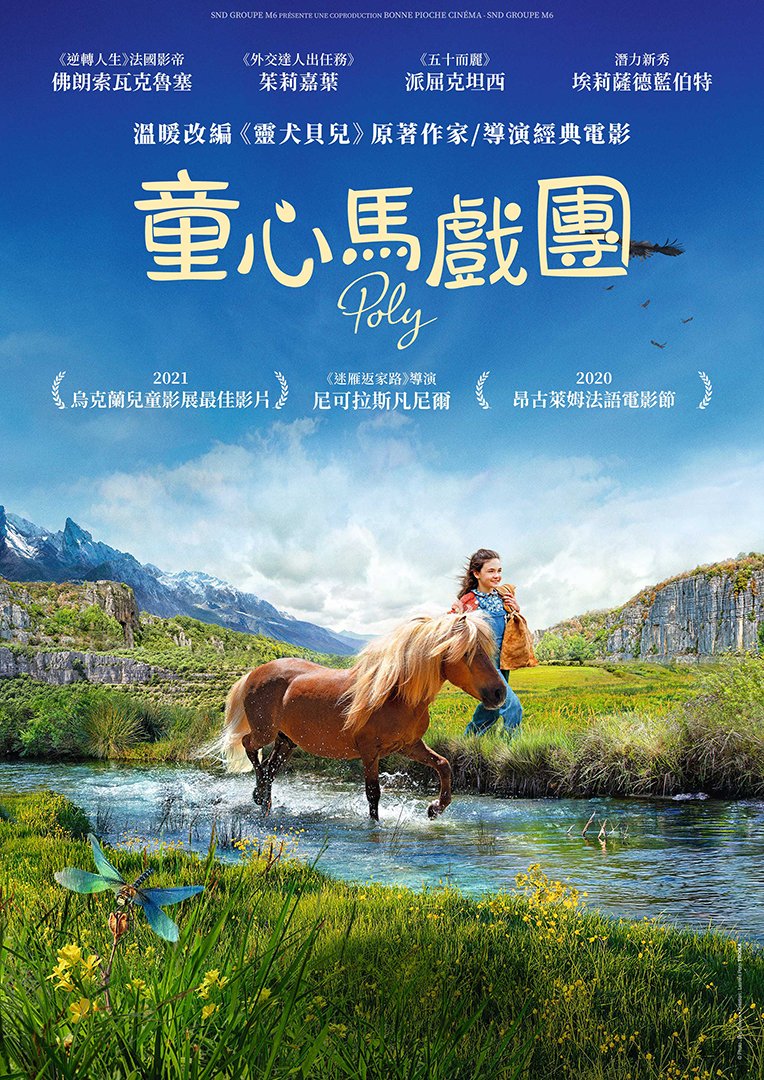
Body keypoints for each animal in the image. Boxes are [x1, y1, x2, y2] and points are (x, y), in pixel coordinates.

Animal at [200, 611, 506, 821]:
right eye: (467, 652)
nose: (499, 693)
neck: (395, 695)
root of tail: (253, 674)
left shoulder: (410, 746)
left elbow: (443, 765)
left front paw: (434, 809)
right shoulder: (370, 751)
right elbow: (373, 793)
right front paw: (376, 825)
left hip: (287, 741)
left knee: (270, 768)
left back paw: (263, 799)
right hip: (266, 732)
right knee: (249, 746)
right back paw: (259, 794)